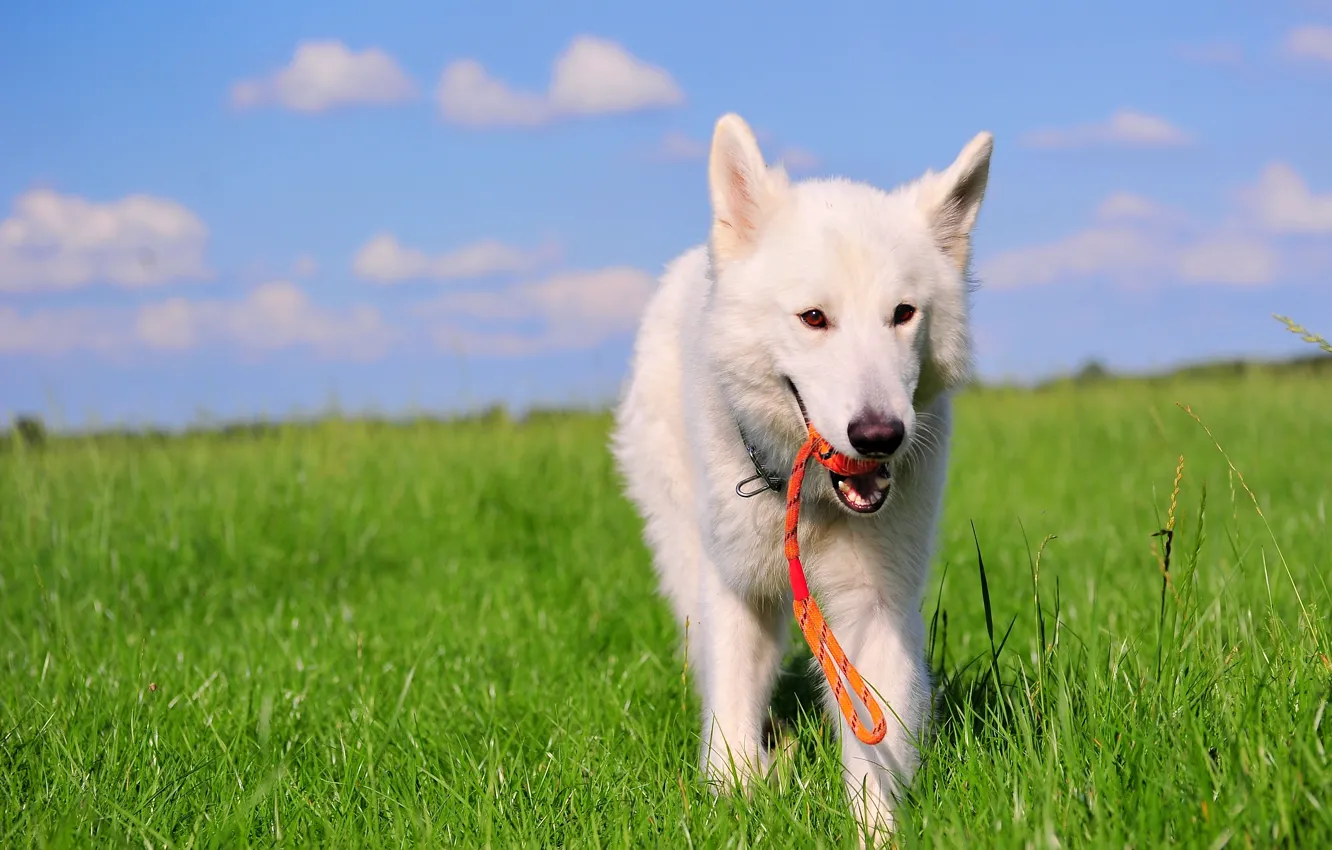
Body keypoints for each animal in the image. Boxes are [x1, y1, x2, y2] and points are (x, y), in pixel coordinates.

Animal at [610, 114, 991, 847]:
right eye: (815, 318)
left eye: (903, 314)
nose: (879, 435)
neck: (809, 499)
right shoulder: (734, 594)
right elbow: (729, 730)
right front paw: (738, 804)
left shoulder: (875, 609)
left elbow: (875, 748)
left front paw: (877, 830)